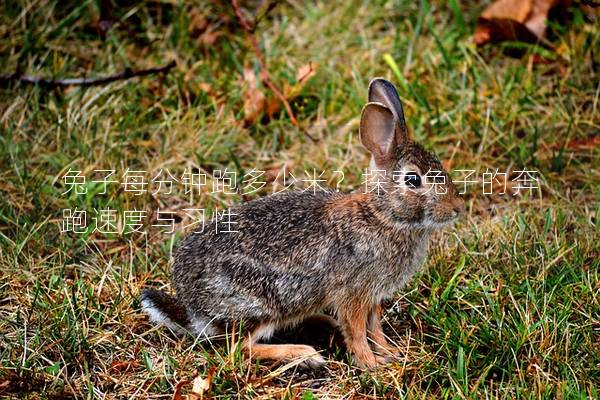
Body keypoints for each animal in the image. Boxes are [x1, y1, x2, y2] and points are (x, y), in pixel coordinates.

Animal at [141, 77, 464, 368]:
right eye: (413, 180)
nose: (458, 208)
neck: (382, 216)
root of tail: (192, 307)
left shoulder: (372, 296)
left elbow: (375, 328)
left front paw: (390, 354)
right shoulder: (353, 293)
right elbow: (358, 332)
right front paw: (371, 365)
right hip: (260, 303)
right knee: (240, 349)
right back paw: (304, 355)